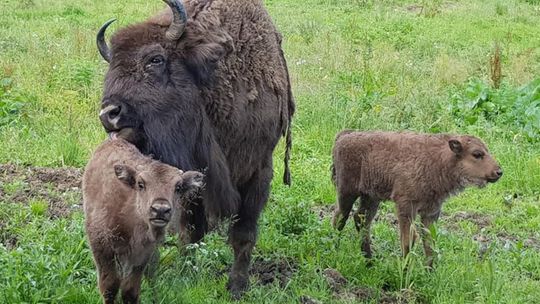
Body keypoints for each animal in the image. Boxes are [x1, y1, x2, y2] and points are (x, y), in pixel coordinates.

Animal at [83, 139, 204, 302]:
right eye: (141, 184)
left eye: (178, 187)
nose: (160, 210)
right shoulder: (102, 249)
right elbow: (110, 287)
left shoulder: (142, 256)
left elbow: (130, 291)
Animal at [95, 0, 294, 296]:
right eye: (112, 66)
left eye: (156, 59)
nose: (109, 114)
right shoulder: (191, 179)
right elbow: (191, 232)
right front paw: (184, 273)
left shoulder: (258, 170)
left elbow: (244, 233)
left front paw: (237, 286)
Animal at [332, 131, 504, 266]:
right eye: (477, 154)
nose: (499, 172)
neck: (439, 159)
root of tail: (343, 137)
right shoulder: (406, 207)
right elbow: (408, 241)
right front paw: (405, 272)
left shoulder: (431, 212)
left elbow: (429, 242)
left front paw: (430, 272)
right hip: (347, 192)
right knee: (340, 217)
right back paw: (335, 248)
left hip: (371, 198)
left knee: (360, 219)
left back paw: (369, 260)